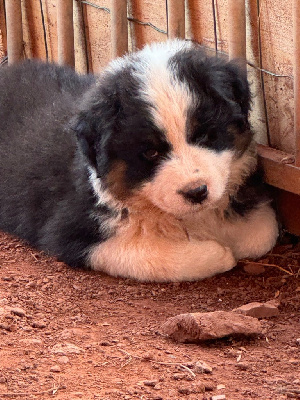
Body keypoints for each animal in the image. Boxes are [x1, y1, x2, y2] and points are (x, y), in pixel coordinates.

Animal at [0, 39, 278, 280]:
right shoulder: (75, 233)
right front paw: (218, 253)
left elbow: (262, 233)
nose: (197, 192)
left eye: (206, 135)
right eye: (150, 152)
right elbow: (148, 253)